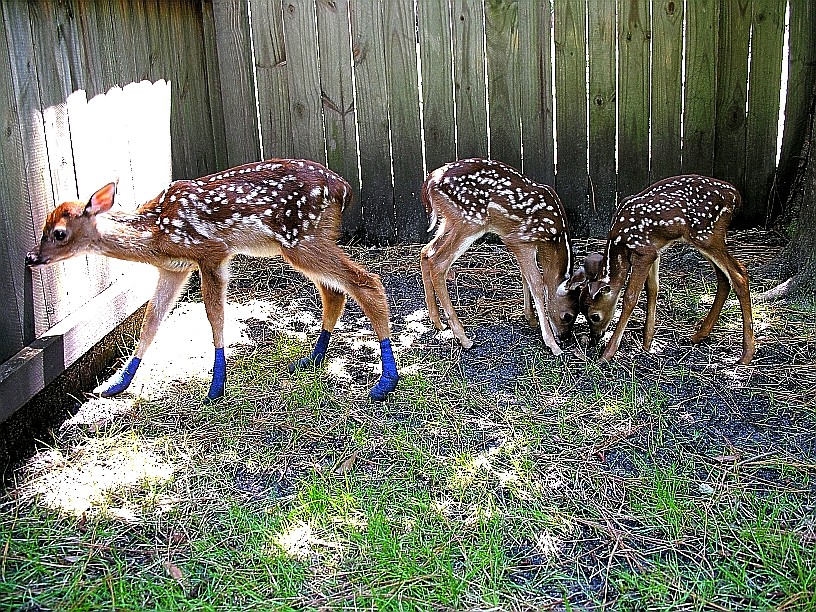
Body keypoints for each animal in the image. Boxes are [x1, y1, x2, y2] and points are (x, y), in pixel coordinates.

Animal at [26, 159, 400, 403]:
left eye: (59, 233)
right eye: (43, 227)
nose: (30, 258)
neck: (155, 232)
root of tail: (343, 188)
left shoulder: (211, 252)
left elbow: (214, 315)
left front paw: (216, 387)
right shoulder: (174, 269)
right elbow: (151, 321)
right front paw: (116, 385)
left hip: (301, 238)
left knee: (367, 281)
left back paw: (386, 381)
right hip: (307, 241)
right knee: (335, 291)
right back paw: (311, 360)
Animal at [420, 158, 581, 354]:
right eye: (568, 315)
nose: (564, 337)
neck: (553, 238)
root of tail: (430, 182)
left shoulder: (521, 246)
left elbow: (525, 277)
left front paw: (530, 317)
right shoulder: (520, 240)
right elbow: (537, 283)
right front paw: (552, 344)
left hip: (450, 221)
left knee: (426, 252)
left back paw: (438, 322)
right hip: (470, 221)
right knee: (438, 263)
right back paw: (464, 339)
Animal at [571, 174, 755, 365]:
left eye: (595, 316)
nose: (595, 338)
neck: (620, 246)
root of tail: (735, 196)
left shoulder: (643, 252)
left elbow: (630, 297)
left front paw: (608, 353)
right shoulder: (655, 250)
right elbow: (652, 289)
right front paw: (647, 344)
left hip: (707, 236)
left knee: (739, 274)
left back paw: (746, 354)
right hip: (707, 239)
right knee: (724, 278)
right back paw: (698, 336)